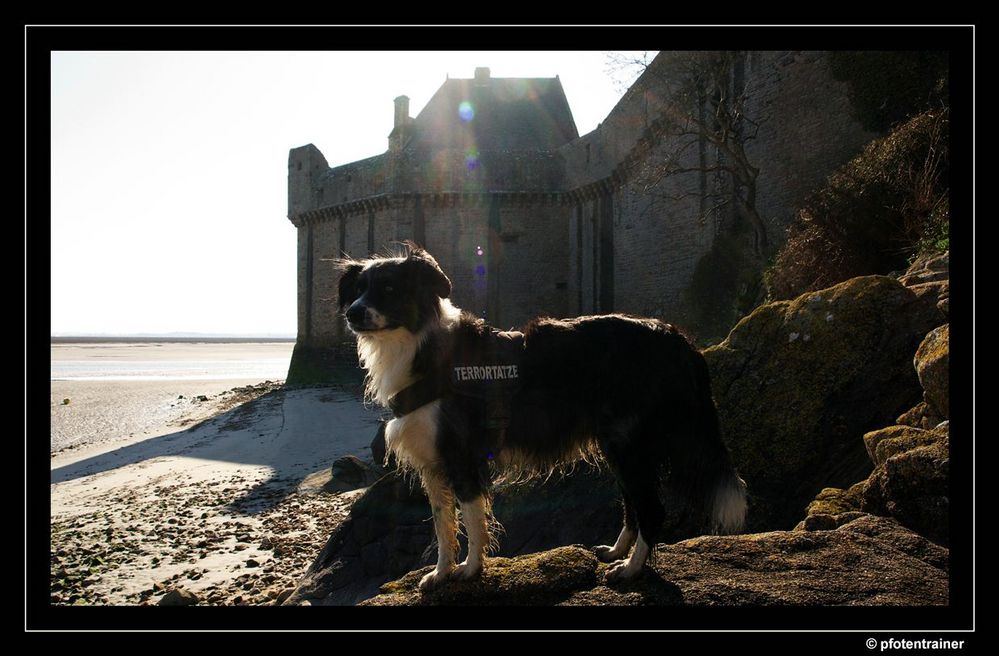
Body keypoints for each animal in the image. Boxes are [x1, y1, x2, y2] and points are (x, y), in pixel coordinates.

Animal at [340, 245, 748, 588]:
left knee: (652, 507)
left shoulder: (463, 456)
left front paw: (470, 571)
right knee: (632, 503)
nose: (352, 312)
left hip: (629, 442)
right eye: (358, 289)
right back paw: (617, 551)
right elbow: (443, 525)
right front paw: (441, 574)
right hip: (619, 445)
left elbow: (470, 519)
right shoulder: (433, 463)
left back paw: (630, 570)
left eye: (389, 288)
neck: (417, 347)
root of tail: (678, 338)